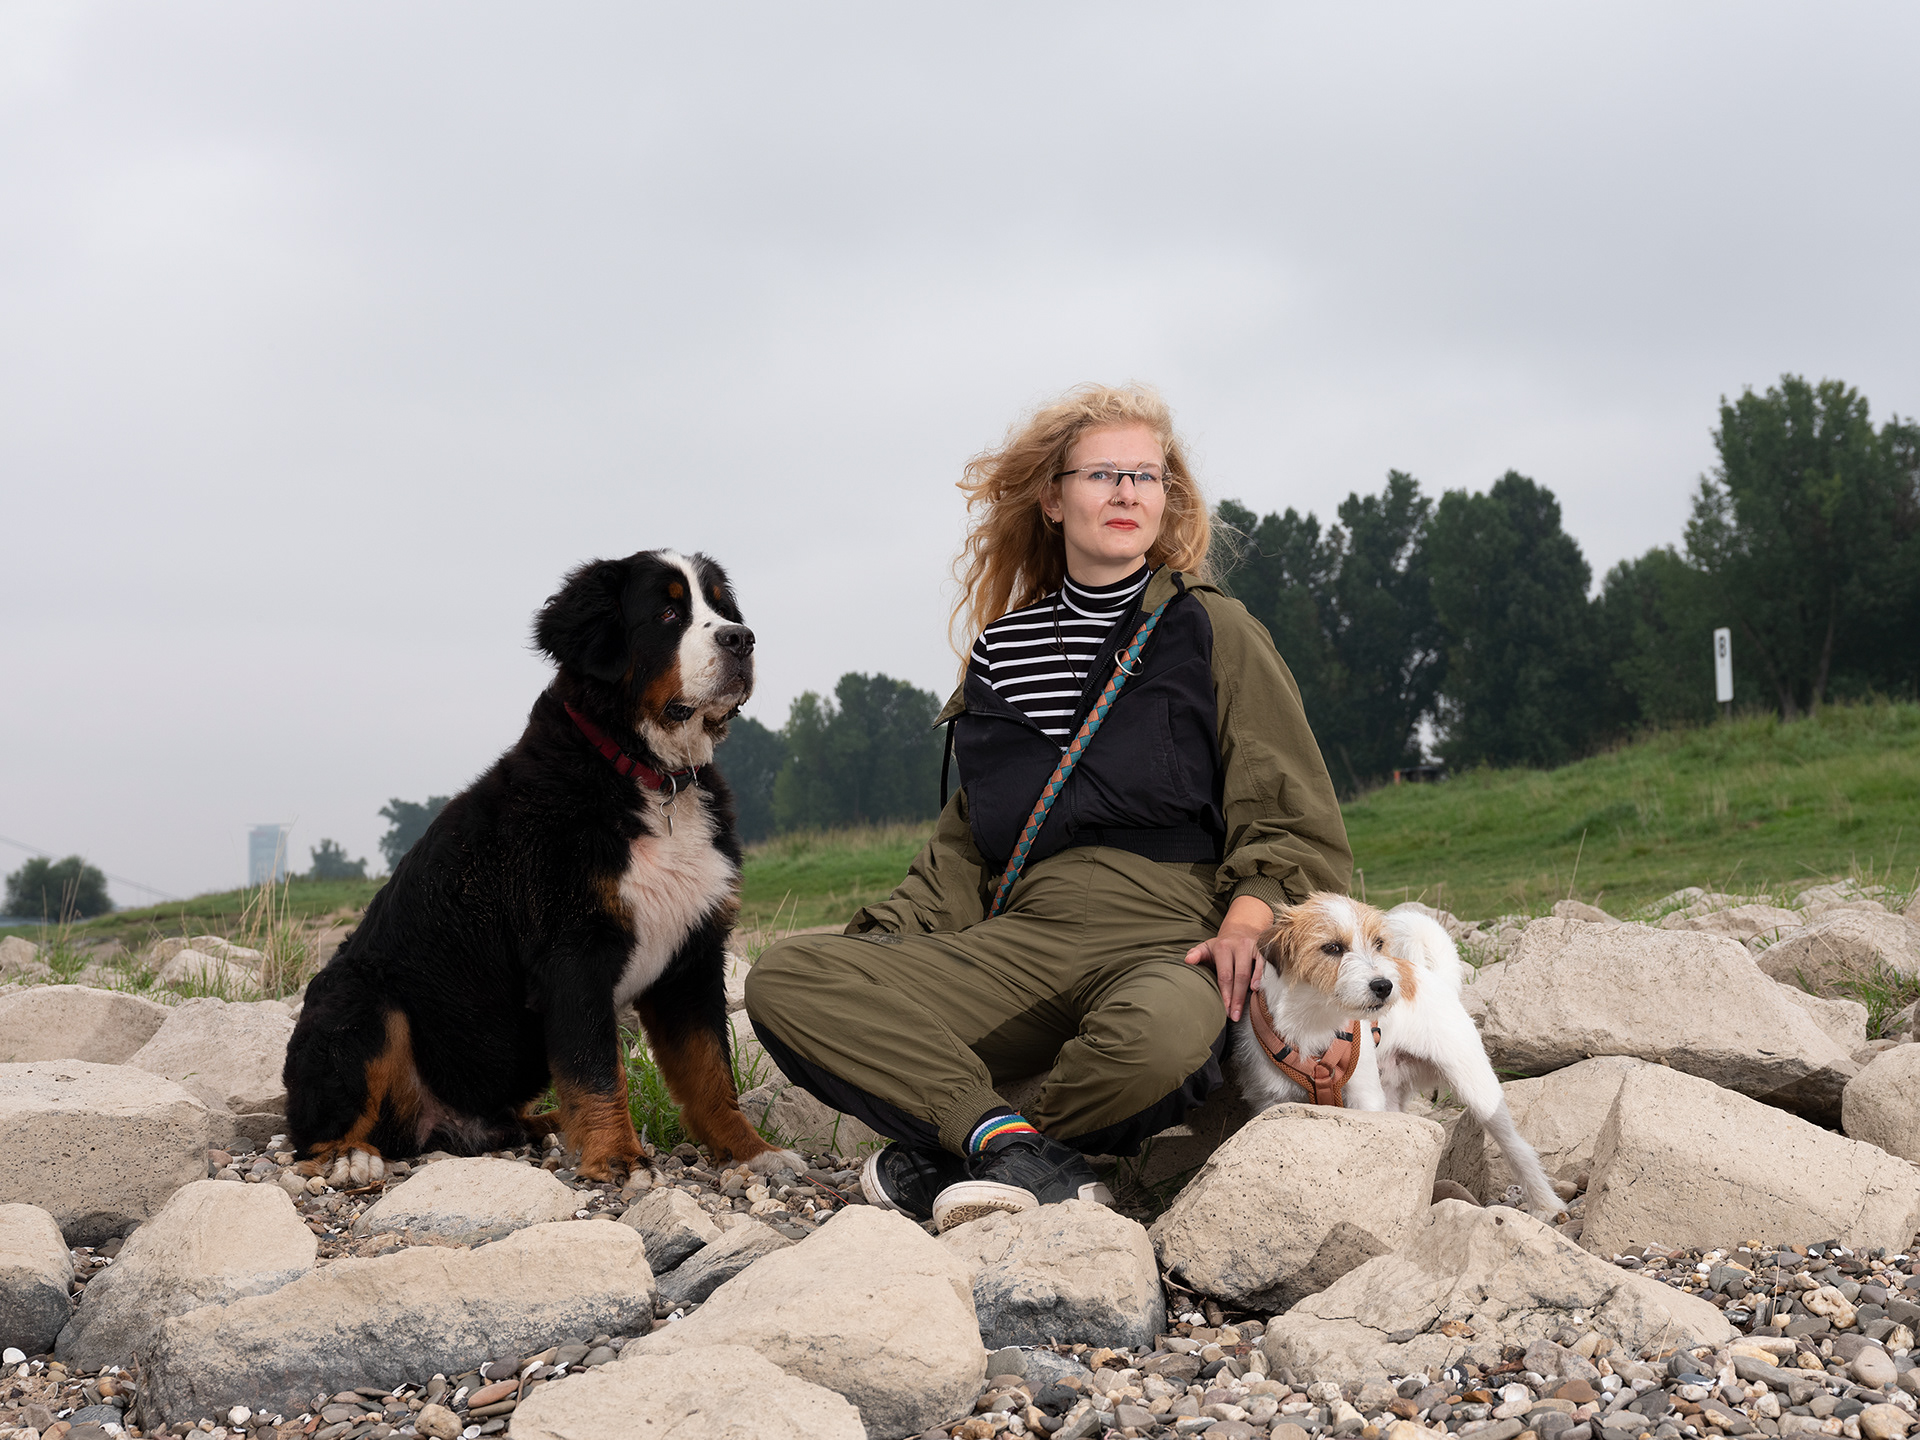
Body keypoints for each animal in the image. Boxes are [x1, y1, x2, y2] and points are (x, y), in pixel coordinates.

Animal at [283, 548, 801, 1187]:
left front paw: (752, 1151)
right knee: (314, 1133)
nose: (741, 639)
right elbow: (596, 1068)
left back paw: (545, 1126)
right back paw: (350, 1156)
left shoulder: (693, 953)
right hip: (362, 999)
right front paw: (618, 1157)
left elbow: (710, 1073)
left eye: (723, 608)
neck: (650, 776)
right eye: (666, 612)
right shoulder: (574, 949)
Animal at [1231, 892, 1563, 1221]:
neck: (1315, 1022)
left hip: (1476, 1087)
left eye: (1378, 943)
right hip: (1393, 1096)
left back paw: (1547, 1204)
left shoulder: (1364, 1097)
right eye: (1332, 947)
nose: (1384, 986)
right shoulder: (1272, 1102)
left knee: (1517, 1147)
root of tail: (1433, 977)